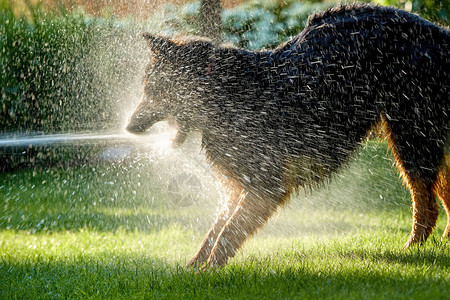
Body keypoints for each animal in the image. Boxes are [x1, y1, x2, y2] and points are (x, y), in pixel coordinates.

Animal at [126, 3, 450, 268]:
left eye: (152, 90)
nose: (128, 127)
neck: (221, 90)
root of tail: (439, 34)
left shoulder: (266, 185)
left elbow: (229, 231)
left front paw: (210, 271)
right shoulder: (241, 183)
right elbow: (217, 228)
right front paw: (194, 267)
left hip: (411, 138)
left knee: (428, 207)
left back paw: (412, 249)